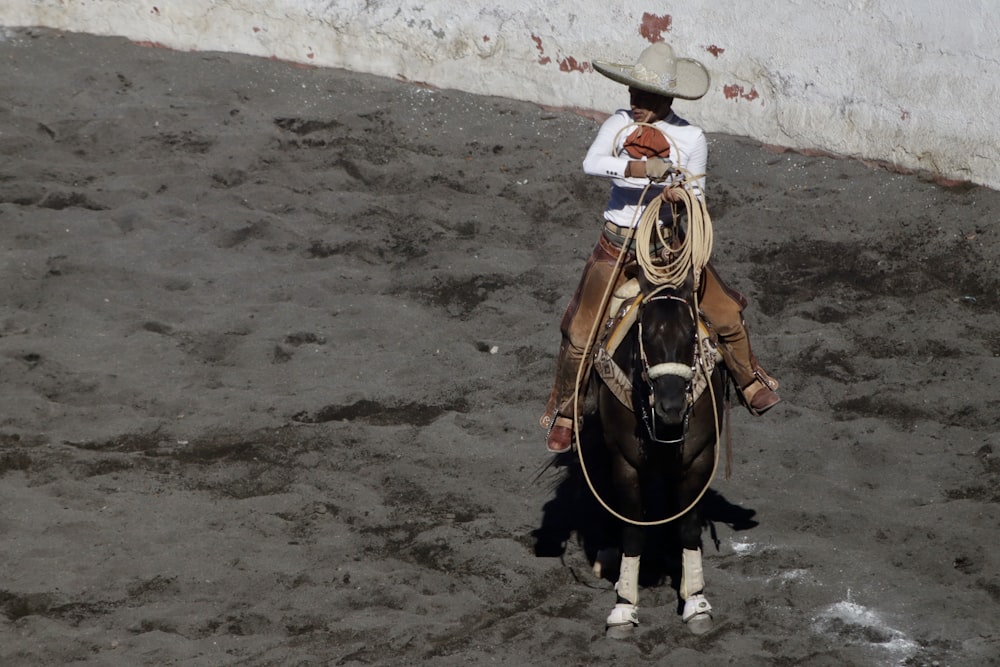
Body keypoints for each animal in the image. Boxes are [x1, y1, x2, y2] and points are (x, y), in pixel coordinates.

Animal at [584, 270, 724, 636]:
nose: (671, 407)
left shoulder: (699, 458)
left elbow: (689, 527)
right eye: (645, 334)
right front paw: (624, 607)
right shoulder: (625, 462)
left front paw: (696, 602)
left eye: (691, 334)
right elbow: (633, 531)